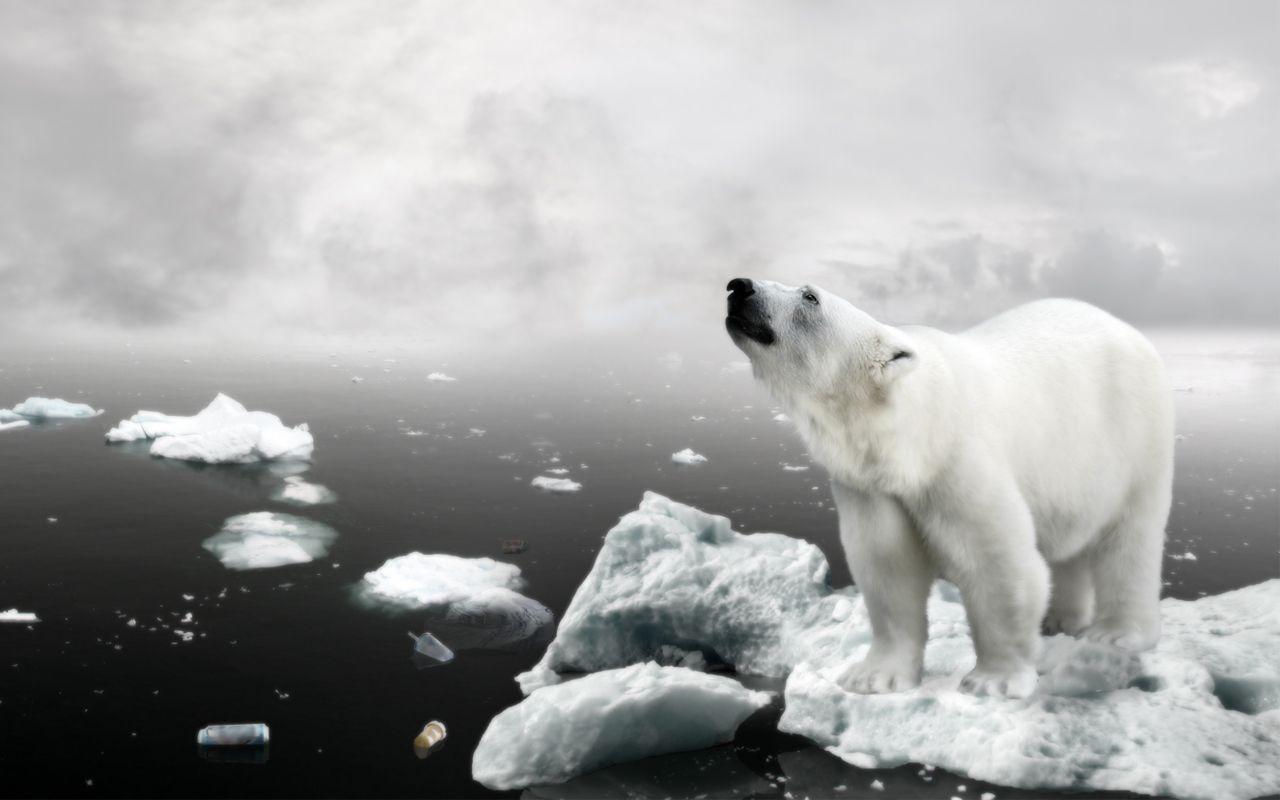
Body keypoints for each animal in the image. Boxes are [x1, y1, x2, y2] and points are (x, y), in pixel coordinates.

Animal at [725, 278, 1173, 698]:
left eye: (810, 296)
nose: (738, 286)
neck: (911, 437)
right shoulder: (871, 486)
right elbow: (888, 568)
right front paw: (873, 677)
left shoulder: (957, 464)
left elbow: (998, 562)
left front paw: (993, 680)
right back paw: (1058, 619)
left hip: (1133, 436)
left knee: (1129, 538)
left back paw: (1117, 632)